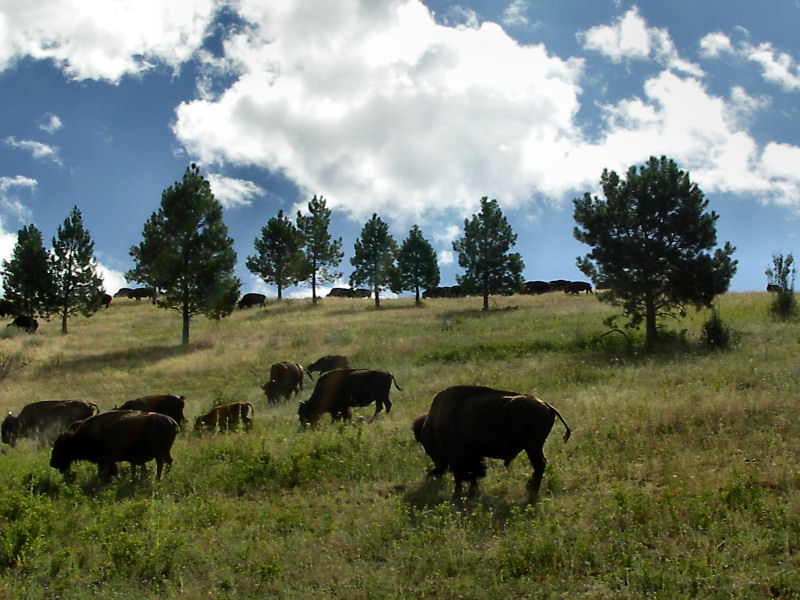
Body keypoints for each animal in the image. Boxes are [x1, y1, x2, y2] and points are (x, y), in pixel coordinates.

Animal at [50, 408, 178, 482]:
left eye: (60, 447)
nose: (52, 463)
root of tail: (172, 422)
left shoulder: (107, 460)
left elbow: (112, 471)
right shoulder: (102, 461)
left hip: (159, 453)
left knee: (160, 464)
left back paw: (158, 478)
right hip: (165, 451)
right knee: (168, 461)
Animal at [412, 384, 568, 502]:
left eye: (427, 444)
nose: (435, 471)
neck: (433, 424)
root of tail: (548, 406)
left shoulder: (459, 458)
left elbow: (460, 476)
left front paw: (458, 495)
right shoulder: (473, 456)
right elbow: (472, 474)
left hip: (532, 447)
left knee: (540, 465)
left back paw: (531, 492)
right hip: (534, 447)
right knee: (540, 465)